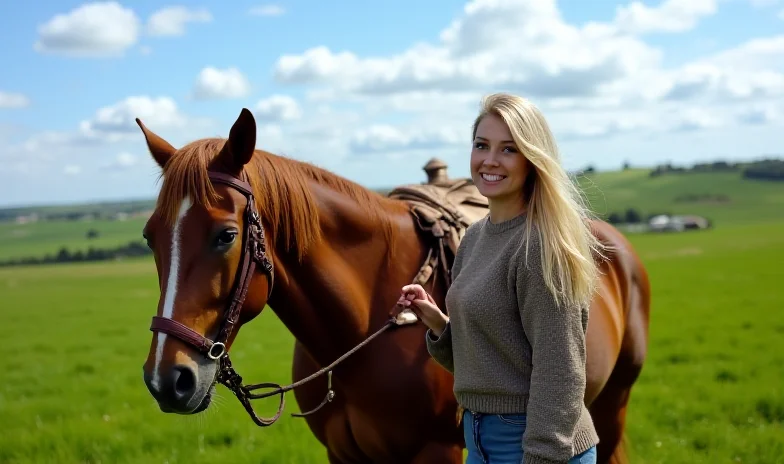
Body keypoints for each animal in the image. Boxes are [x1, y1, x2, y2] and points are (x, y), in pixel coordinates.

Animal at [139, 108, 648, 464]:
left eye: (226, 235)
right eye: (149, 236)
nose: (167, 380)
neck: (362, 329)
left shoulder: (437, 451)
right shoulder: (343, 454)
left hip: (615, 403)